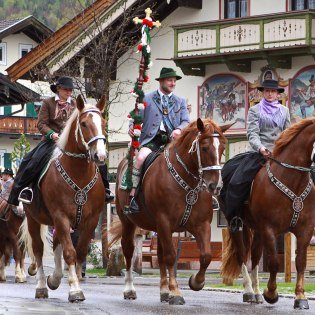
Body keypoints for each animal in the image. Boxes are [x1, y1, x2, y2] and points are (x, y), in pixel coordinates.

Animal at [19, 95, 107, 304]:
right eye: (84, 124)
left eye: (103, 123)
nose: (100, 155)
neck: (78, 173)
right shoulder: (61, 216)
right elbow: (69, 252)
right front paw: (75, 290)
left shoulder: (90, 220)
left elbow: (79, 251)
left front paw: (74, 283)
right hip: (34, 219)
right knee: (39, 249)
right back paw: (42, 286)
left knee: (57, 243)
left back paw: (55, 279)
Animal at [113, 119, 230, 306]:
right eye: (204, 147)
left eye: (223, 148)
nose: (215, 186)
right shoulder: (164, 222)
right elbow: (170, 256)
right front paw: (175, 291)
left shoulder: (202, 225)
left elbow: (206, 255)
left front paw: (196, 282)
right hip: (128, 222)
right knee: (129, 250)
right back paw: (130, 289)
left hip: (158, 229)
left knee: (159, 256)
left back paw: (163, 291)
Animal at [221, 118, 315, 312]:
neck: (293, 181)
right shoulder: (270, 229)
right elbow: (274, 263)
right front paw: (271, 294)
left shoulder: (305, 230)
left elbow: (300, 262)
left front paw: (300, 297)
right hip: (237, 225)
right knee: (242, 255)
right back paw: (249, 292)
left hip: (257, 230)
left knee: (256, 257)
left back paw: (256, 293)